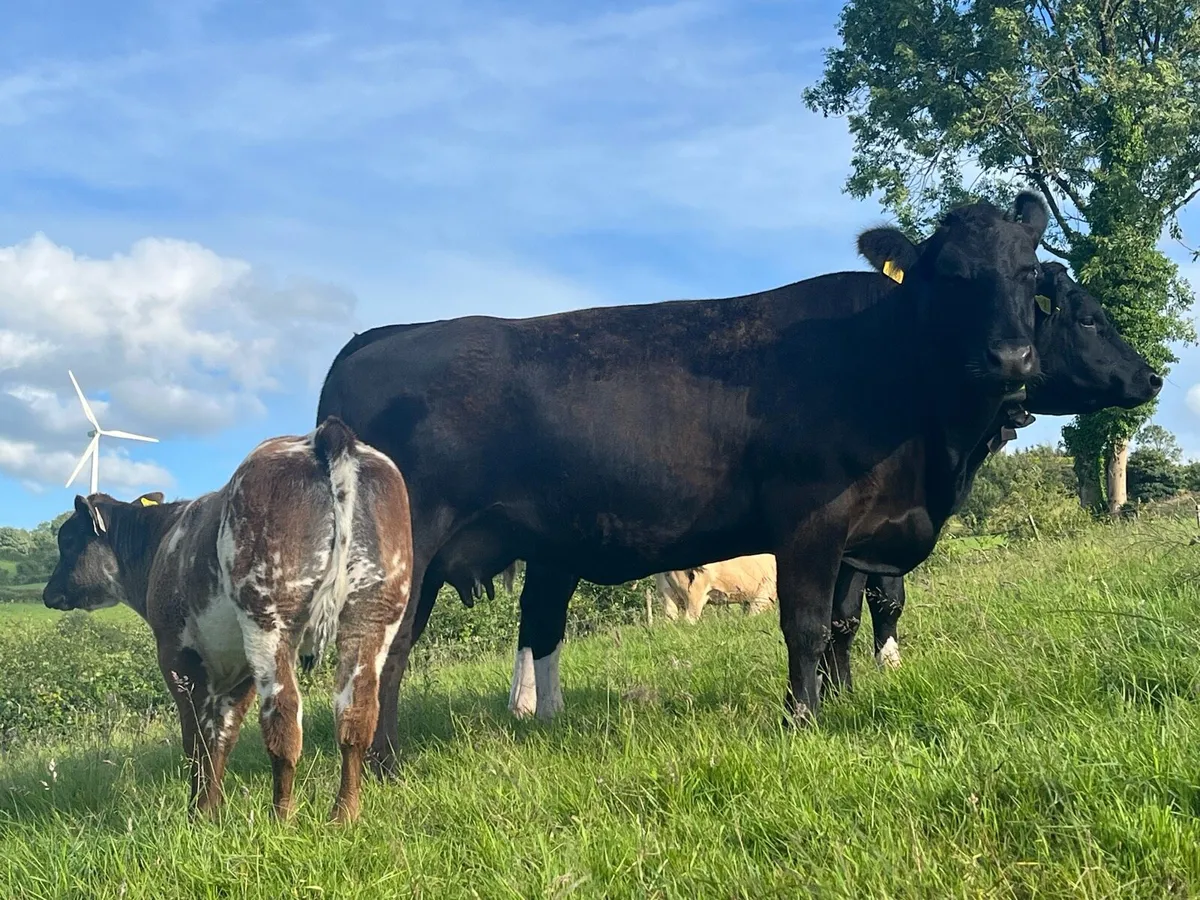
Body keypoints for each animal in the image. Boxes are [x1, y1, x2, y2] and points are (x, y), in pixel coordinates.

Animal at [41, 417, 413, 823]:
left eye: (68, 540)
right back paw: (343, 815)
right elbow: (224, 733)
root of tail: (327, 435)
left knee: (284, 716)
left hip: (269, 612)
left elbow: (197, 737)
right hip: (373, 611)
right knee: (356, 713)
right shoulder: (237, 667)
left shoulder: (178, 651)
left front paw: (198, 813)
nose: (48, 592)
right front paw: (212, 808)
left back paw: (281, 817)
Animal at [316, 192, 1053, 774]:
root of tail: (375, 337)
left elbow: (843, 621)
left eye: (1029, 272)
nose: (1012, 358)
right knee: (387, 648)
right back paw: (381, 767)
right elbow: (807, 625)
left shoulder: (862, 532)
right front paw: (801, 721)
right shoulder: (810, 518)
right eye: (954, 276)